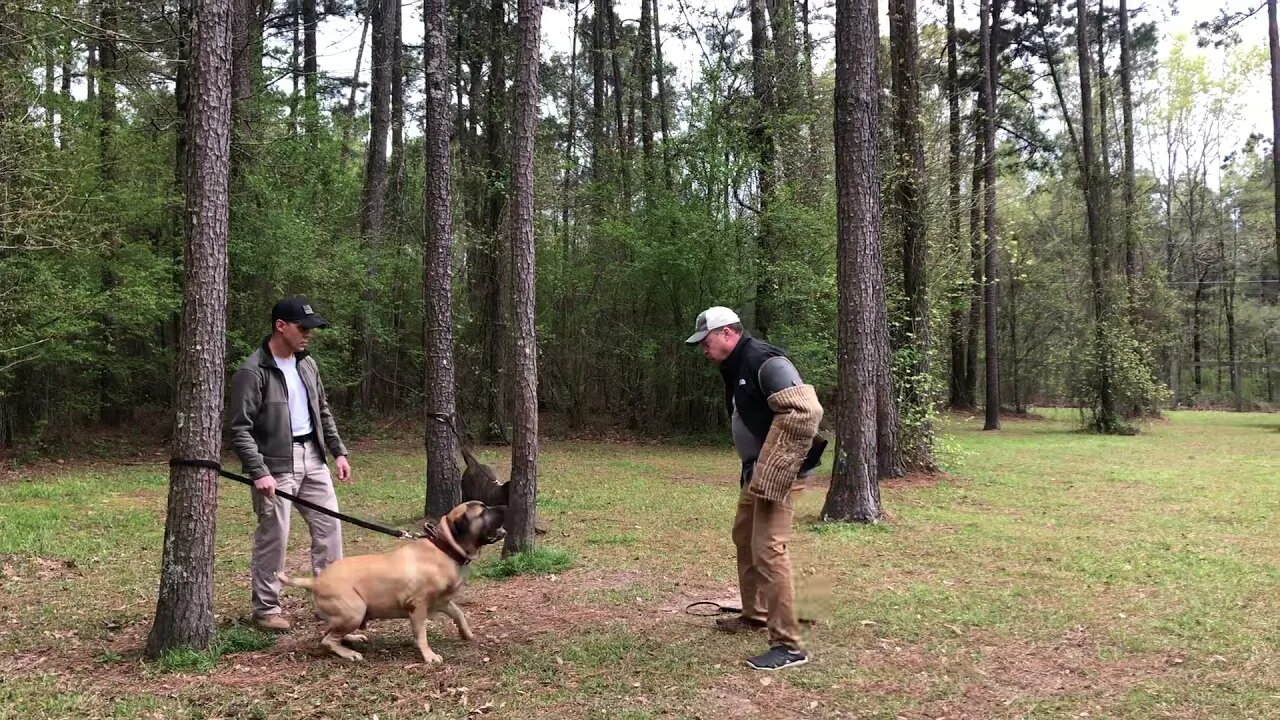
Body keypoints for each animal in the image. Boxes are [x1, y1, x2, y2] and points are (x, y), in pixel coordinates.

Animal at [279, 499, 504, 661]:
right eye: (483, 512)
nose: (504, 506)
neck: (445, 547)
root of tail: (315, 581)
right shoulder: (418, 607)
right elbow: (421, 634)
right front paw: (429, 656)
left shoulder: (444, 601)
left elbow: (459, 614)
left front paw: (467, 634)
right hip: (354, 610)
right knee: (327, 640)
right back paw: (349, 653)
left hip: (349, 616)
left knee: (329, 631)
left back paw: (352, 638)